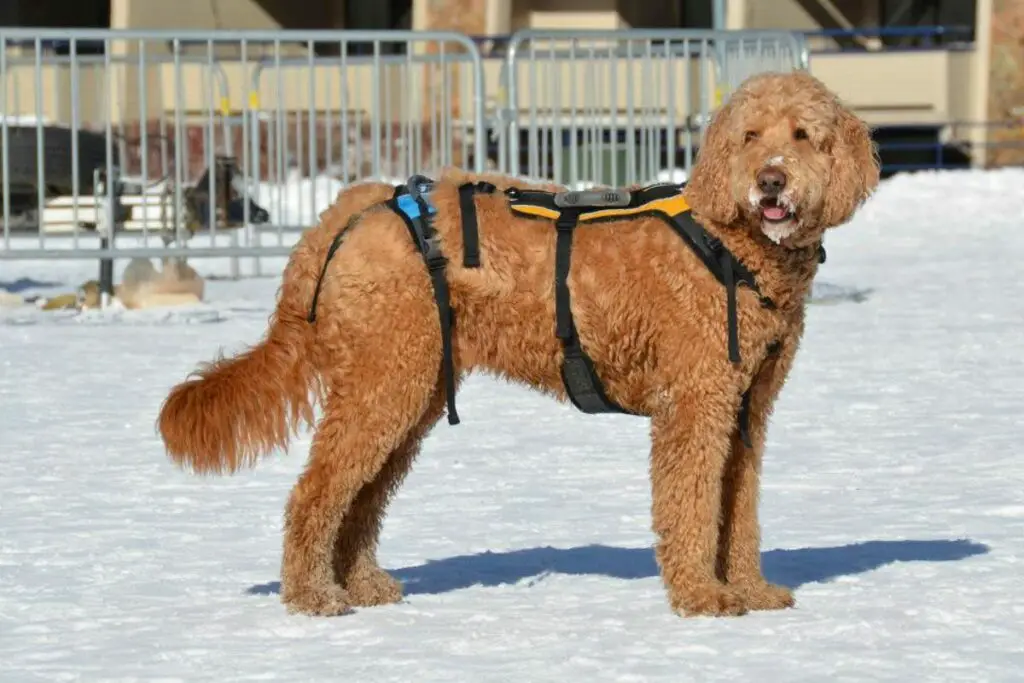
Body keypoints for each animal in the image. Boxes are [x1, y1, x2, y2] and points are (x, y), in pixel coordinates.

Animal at [157, 70, 880, 618]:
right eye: (750, 136)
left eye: (803, 135)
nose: (771, 180)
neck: (731, 245)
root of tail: (353, 208)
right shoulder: (696, 403)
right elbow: (693, 505)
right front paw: (703, 597)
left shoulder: (747, 406)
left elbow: (740, 508)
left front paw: (751, 588)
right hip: (384, 381)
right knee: (315, 494)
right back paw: (312, 596)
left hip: (410, 388)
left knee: (360, 497)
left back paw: (359, 584)